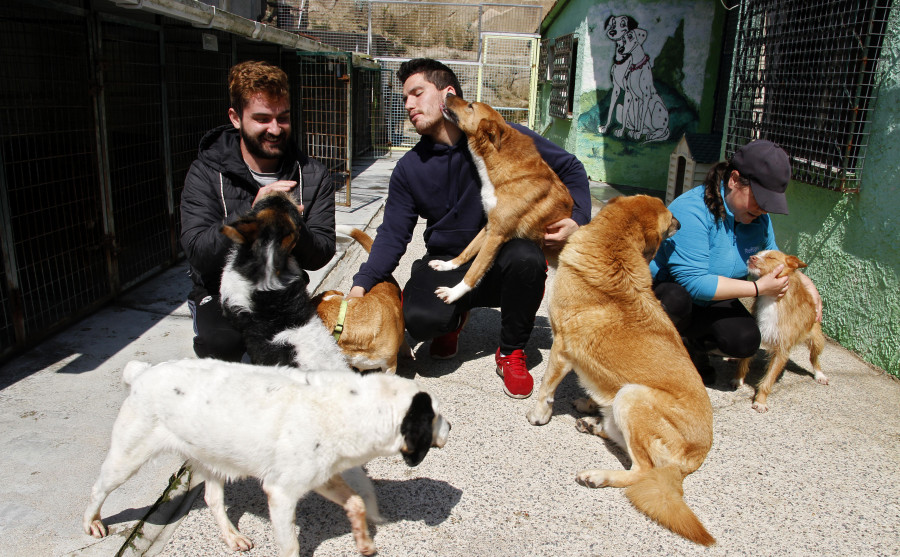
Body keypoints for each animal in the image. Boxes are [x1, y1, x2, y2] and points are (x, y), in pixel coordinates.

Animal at [83, 358, 450, 552]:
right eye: (433, 415)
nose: (451, 426)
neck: (349, 408)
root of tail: (142, 371)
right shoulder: (281, 494)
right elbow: (289, 545)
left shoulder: (320, 478)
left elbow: (357, 502)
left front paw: (363, 541)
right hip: (127, 458)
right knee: (98, 488)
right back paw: (92, 523)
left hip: (213, 458)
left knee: (213, 499)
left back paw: (232, 536)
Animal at [524, 194, 712, 544]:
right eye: (669, 217)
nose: (680, 224)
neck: (614, 248)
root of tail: (697, 456)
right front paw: (586, 404)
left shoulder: (562, 346)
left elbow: (546, 386)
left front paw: (539, 415)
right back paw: (593, 423)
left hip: (632, 396)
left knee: (642, 471)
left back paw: (597, 475)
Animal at [736, 250, 828, 410]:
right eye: (758, 253)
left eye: (771, 257)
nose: (752, 257)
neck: (772, 299)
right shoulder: (757, 333)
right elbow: (744, 360)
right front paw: (739, 379)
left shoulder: (782, 349)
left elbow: (769, 379)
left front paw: (760, 401)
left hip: (817, 339)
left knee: (814, 358)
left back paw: (819, 374)